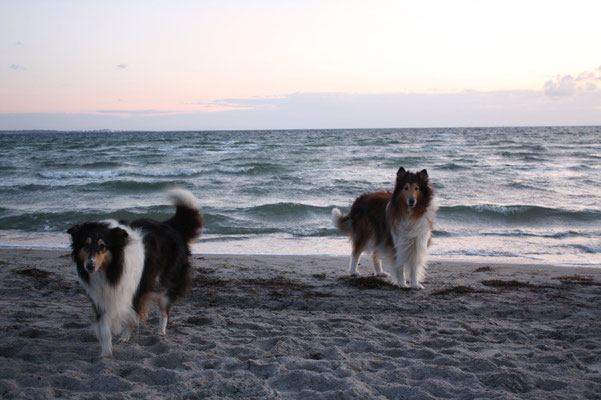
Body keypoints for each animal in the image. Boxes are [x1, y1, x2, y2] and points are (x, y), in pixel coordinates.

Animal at [65, 189, 202, 358]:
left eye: (103, 246)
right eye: (85, 245)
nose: (89, 266)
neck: (111, 271)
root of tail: (170, 226)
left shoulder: (136, 291)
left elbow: (131, 317)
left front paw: (123, 337)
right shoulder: (101, 297)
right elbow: (104, 326)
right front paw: (106, 353)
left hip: (167, 283)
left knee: (165, 310)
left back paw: (160, 331)